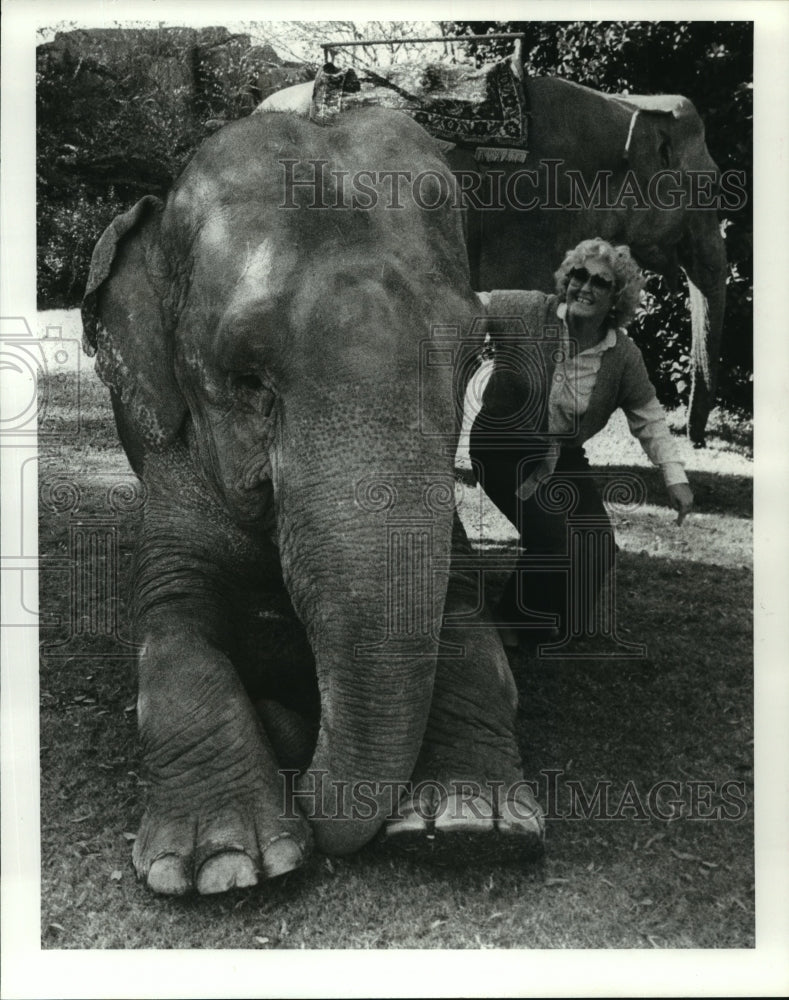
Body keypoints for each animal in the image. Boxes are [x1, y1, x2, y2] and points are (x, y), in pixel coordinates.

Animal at [83, 109, 544, 900]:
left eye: (470, 358)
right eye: (246, 377)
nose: (296, 741)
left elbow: (460, 619)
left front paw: (468, 827)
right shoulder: (174, 461)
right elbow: (174, 632)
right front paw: (225, 865)